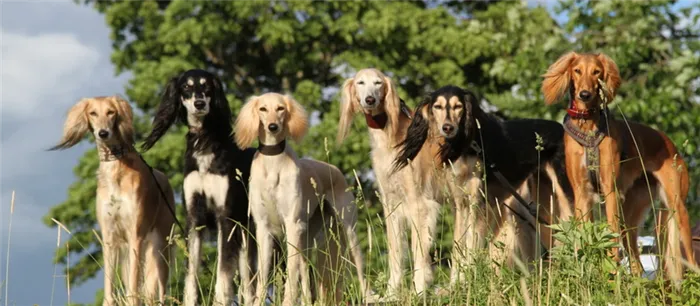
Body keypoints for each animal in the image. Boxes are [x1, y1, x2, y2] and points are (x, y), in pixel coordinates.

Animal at [49, 95, 175, 304]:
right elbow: (110, 288)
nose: (103, 133)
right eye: (93, 113)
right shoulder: (109, 237)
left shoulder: (135, 235)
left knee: (160, 292)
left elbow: (133, 289)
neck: (116, 168)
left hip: (160, 249)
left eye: (111, 112)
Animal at [141, 69, 258, 306]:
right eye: (186, 86)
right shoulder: (195, 216)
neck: (204, 142)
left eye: (207, 86)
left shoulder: (225, 217)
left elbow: (223, 272)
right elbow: (191, 274)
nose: (199, 103)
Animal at [234, 93, 378, 306]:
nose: (272, 127)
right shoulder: (263, 228)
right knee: (305, 274)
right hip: (307, 237)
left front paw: (287, 301)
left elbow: (291, 275)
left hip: (347, 230)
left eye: (280, 108)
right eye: (262, 109)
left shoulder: (292, 224)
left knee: (360, 270)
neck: (273, 162)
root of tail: (335, 170)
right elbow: (263, 275)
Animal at [392, 85, 576, 284]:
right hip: (543, 199)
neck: (465, 145)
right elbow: (458, 246)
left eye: (458, 106)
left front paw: (467, 279)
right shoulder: (460, 204)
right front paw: (456, 283)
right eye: (437, 106)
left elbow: (472, 245)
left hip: (563, 191)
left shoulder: (478, 203)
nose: (447, 128)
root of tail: (561, 129)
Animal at [540, 52, 696, 282]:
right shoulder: (581, 192)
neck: (587, 124)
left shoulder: (609, 189)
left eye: (596, 72)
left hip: (677, 207)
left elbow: (610, 234)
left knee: (691, 258)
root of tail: (670, 143)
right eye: (577, 70)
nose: (584, 94)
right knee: (636, 260)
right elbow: (585, 234)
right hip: (632, 215)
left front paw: (611, 269)